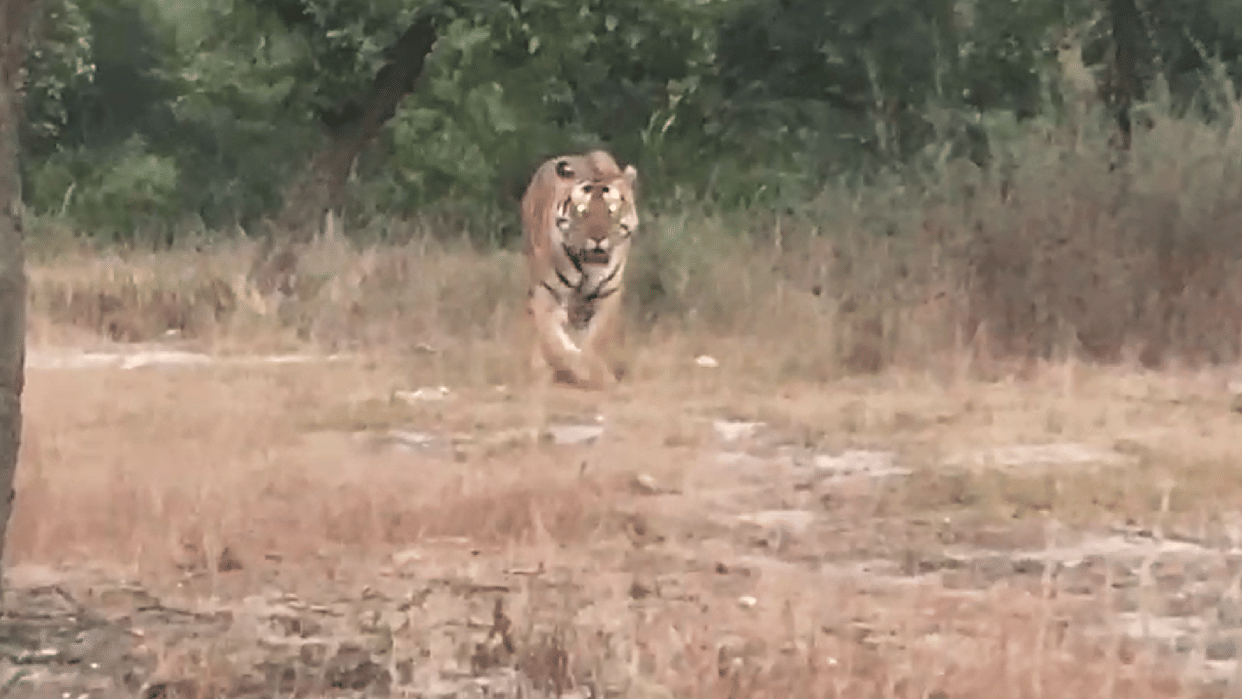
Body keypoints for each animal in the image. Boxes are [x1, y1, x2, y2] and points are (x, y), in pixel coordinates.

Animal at [520, 149, 639, 390]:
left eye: (611, 211)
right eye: (582, 211)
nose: (598, 239)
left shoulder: (608, 294)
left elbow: (595, 340)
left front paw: (598, 374)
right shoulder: (547, 293)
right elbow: (555, 344)